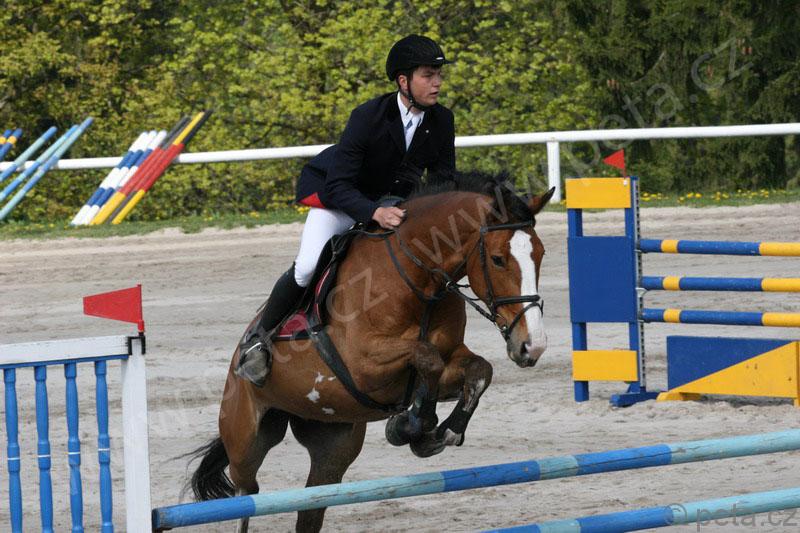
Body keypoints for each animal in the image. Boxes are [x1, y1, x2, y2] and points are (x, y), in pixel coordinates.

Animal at [188, 172, 554, 532]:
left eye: (540, 254)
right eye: (498, 259)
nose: (532, 345)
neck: (418, 281)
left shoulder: (449, 358)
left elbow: (478, 371)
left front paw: (438, 431)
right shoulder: (363, 366)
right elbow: (426, 358)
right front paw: (414, 425)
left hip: (332, 449)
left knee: (310, 507)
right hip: (246, 440)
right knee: (246, 494)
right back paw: (255, 359)